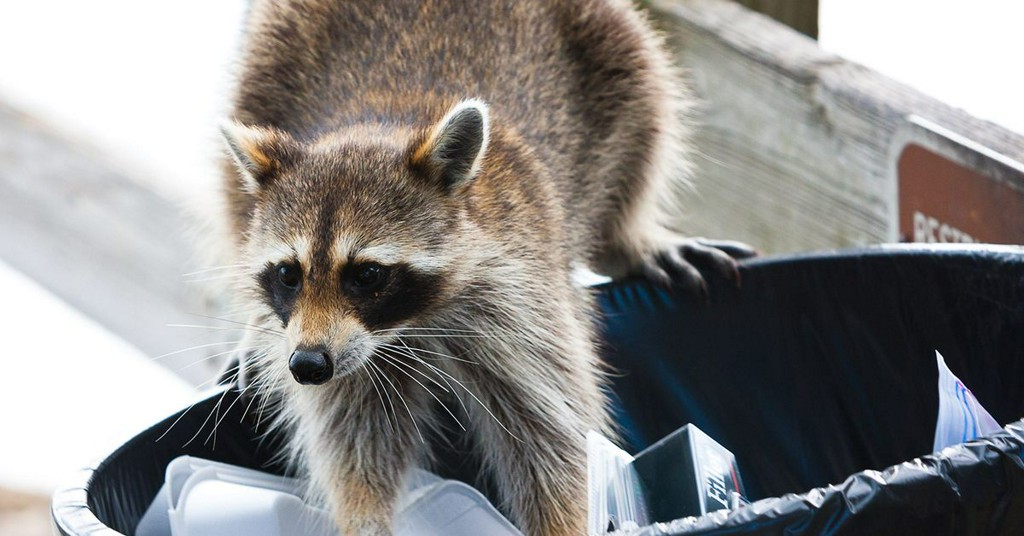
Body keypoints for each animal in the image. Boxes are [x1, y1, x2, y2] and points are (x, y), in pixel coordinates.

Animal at [217, 0, 753, 534]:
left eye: (366, 275)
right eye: (289, 274)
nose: (307, 366)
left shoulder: (523, 296)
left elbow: (553, 435)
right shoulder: (341, 349)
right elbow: (354, 436)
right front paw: (364, 516)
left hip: (611, 47)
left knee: (645, 122)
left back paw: (629, 238)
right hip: (267, 63)